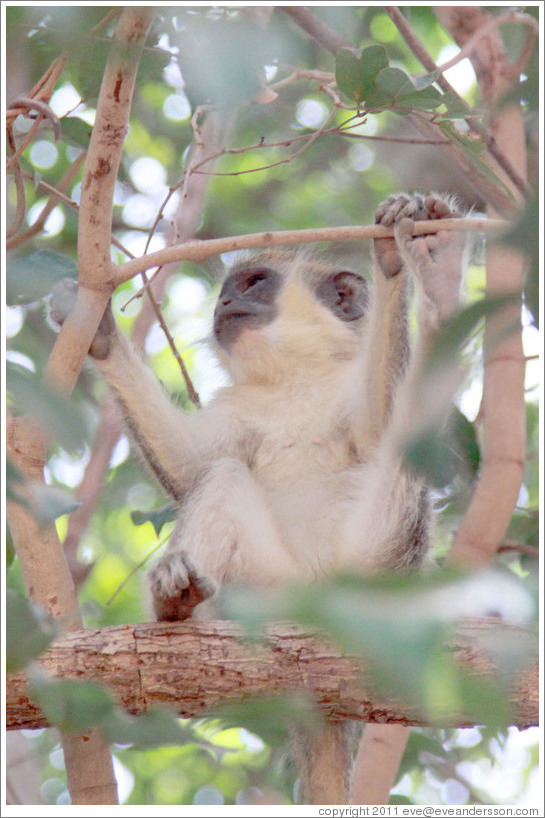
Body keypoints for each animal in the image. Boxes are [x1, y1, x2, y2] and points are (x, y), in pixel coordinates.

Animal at [50, 193, 464, 804]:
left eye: (254, 282)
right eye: (228, 289)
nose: (223, 303)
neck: (294, 379)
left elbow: (386, 429)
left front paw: (407, 264)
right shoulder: (239, 407)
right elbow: (191, 464)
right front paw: (98, 329)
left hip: (381, 564)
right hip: (264, 592)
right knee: (222, 474)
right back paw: (178, 599)